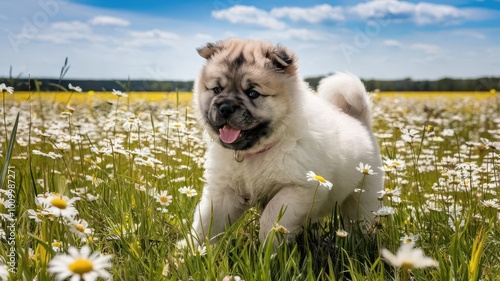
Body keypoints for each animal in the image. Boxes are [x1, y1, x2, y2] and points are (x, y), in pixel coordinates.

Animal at [187, 38, 382, 244]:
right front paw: (191, 249)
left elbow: (271, 216)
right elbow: (206, 222)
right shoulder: (223, 191)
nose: (225, 107)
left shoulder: (299, 188)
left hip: (363, 197)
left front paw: (269, 247)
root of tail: (360, 123)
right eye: (216, 89)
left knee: (358, 219)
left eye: (253, 93)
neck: (256, 152)